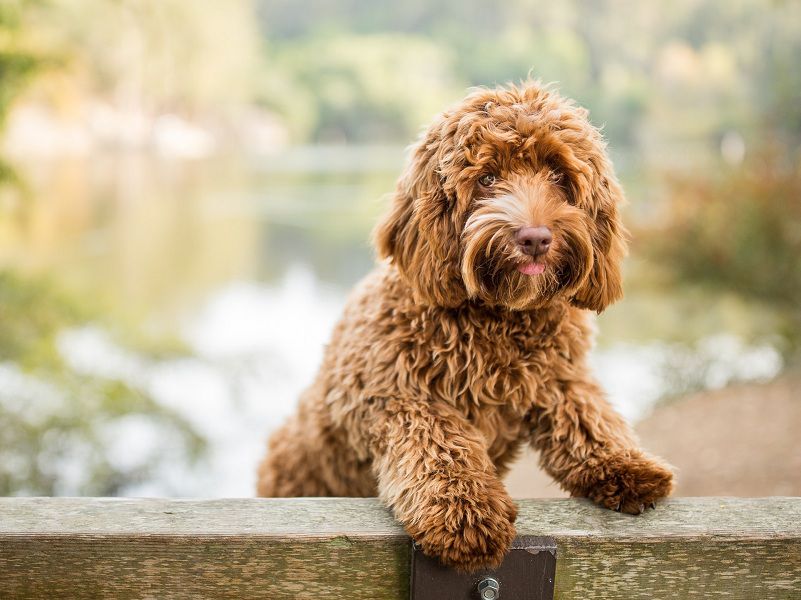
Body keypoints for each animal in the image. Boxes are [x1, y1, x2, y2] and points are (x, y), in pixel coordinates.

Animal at [258, 81, 676, 572]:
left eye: (558, 176)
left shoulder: (559, 376)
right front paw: (466, 514)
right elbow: (441, 443)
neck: (499, 319)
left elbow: (587, 413)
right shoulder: (393, 395)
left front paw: (626, 463)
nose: (535, 238)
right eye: (488, 178)